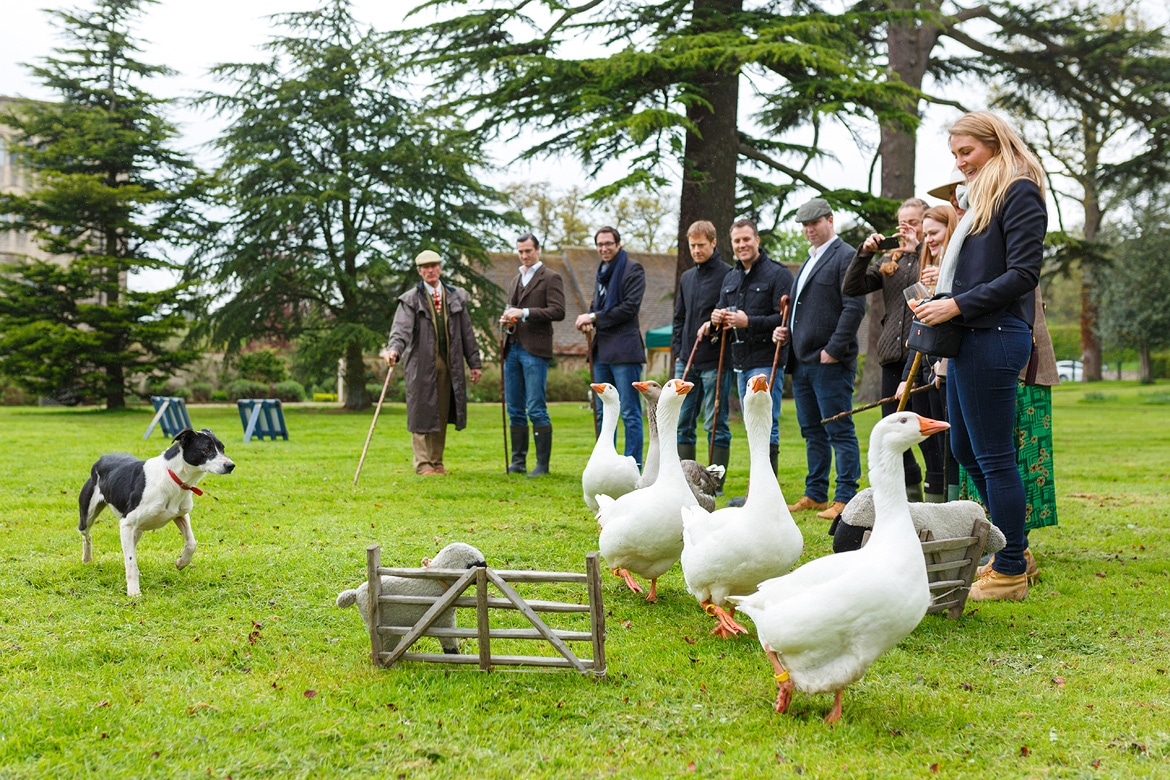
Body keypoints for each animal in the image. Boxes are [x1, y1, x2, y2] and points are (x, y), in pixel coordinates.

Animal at [78, 428, 233, 598]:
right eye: (206, 449)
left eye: (222, 448)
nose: (231, 465)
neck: (172, 476)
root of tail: (102, 459)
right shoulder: (126, 523)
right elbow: (131, 562)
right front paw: (134, 592)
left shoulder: (181, 515)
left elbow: (192, 543)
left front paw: (181, 562)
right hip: (88, 517)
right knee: (87, 536)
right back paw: (87, 558)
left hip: (137, 531)